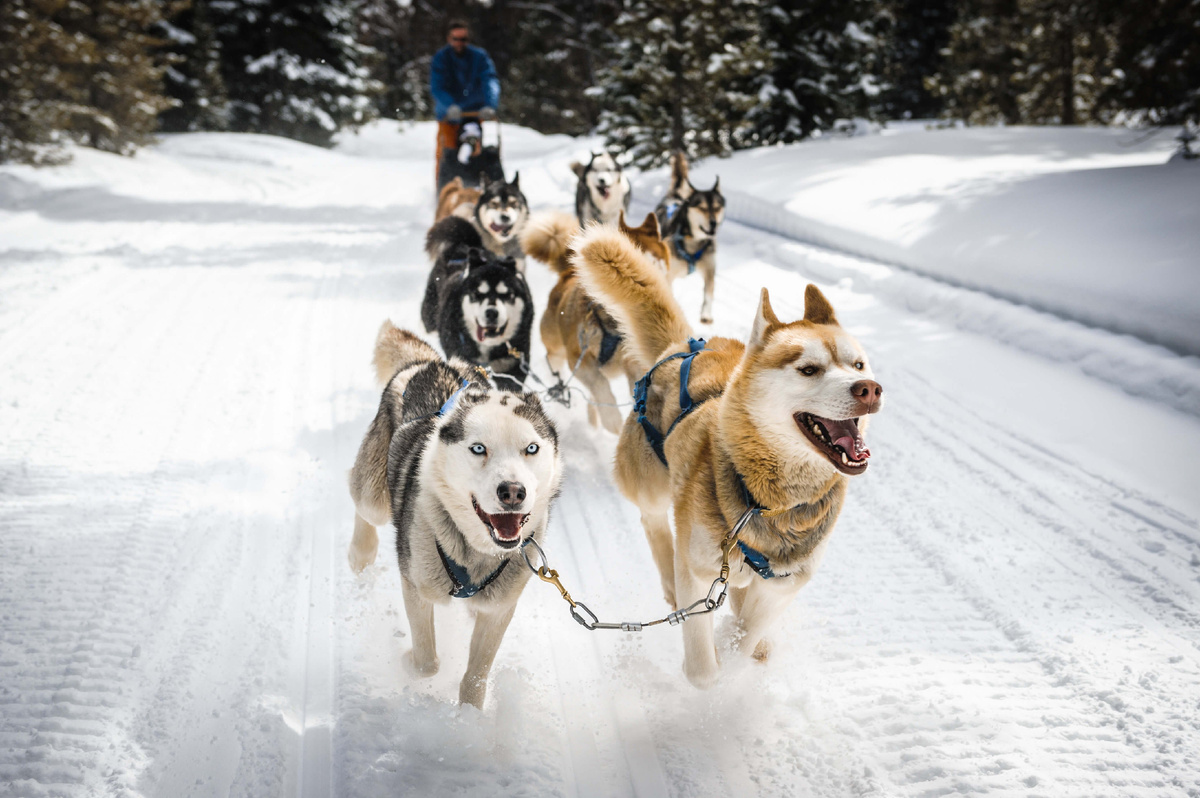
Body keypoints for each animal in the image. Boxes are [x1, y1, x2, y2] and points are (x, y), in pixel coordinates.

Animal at [348, 321, 561, 705]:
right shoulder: (416, 586)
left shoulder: (499, 608)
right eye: (478, 448)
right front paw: (408, 660)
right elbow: (426, 662)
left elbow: (477, 674)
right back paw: (361, 553)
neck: (476, 552)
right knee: (362, 502)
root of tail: (435, 362)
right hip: (374, 494)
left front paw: (470, 713)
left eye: (531, 448)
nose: (513, 492)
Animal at [523, 205, 676, 429]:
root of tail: (567, 273)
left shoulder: (634, 363)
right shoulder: (579, 357)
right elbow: (600, 386)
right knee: (558, 368)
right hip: (556, 349)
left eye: (652, 258)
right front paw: (612, 420)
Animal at [566, 224, 888, 686]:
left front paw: (744, 643)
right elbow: (704, 669)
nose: (869, 389)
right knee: (655, 526)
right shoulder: (699, 572)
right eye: (809, 369)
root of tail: (685, 345)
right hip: (650, 485)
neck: (766, 503)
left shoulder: (784, 583)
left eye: (858, 365)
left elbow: (747, 631)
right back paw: (669, 577)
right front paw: (715, 662)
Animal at [657, 151, 720, 321]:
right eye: (702, 208)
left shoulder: (709, 268)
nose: (713, 223)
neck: (692, 240)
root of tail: (677, 195)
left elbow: (709, 293)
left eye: (717, 208)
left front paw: (706, 314)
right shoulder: (668, 274)